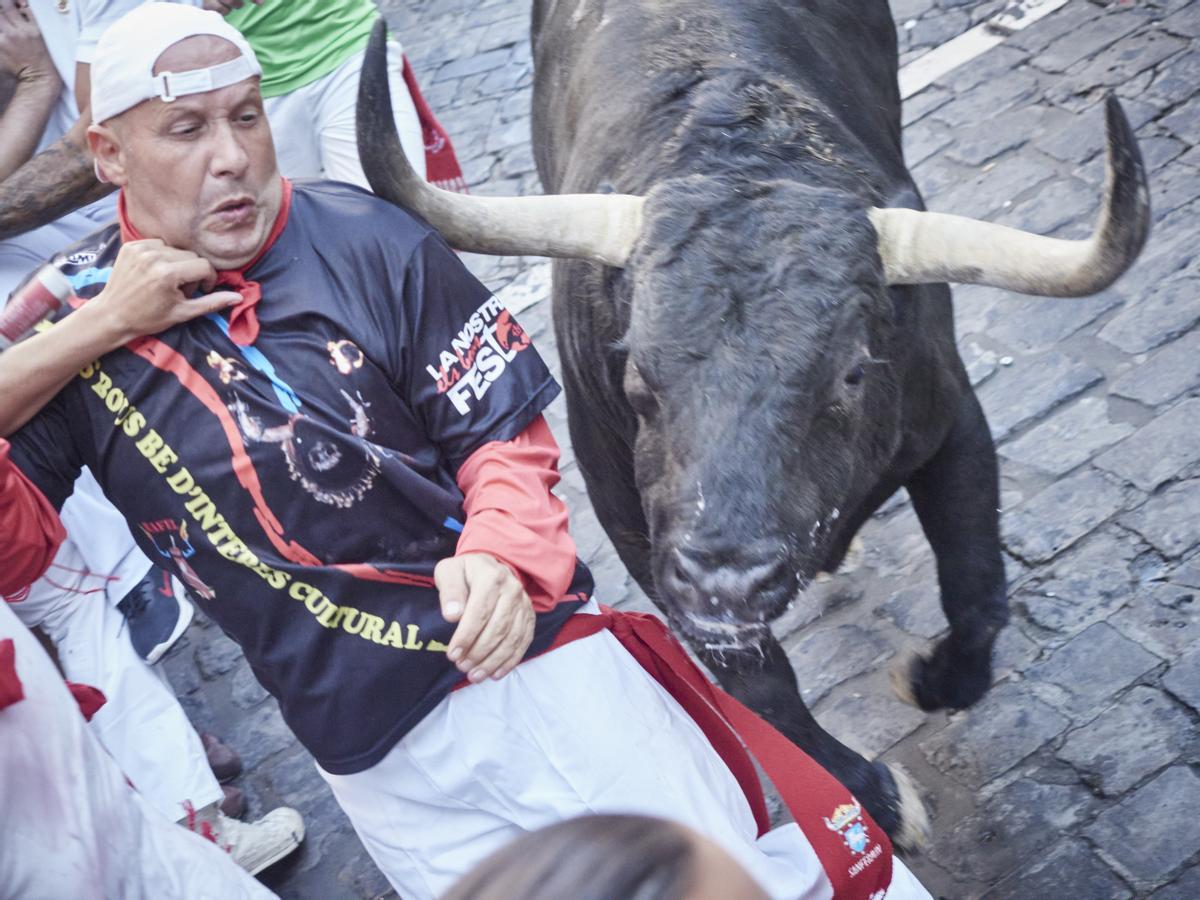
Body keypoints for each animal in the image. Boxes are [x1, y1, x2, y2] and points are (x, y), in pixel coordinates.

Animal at [357, 1, 1152, 854]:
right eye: (637, 371)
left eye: (852, 372)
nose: (727, 580)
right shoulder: (631, 519)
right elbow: (762, 686)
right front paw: (879, 799)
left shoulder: (952, 423)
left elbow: (977, 589)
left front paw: (931, 680)